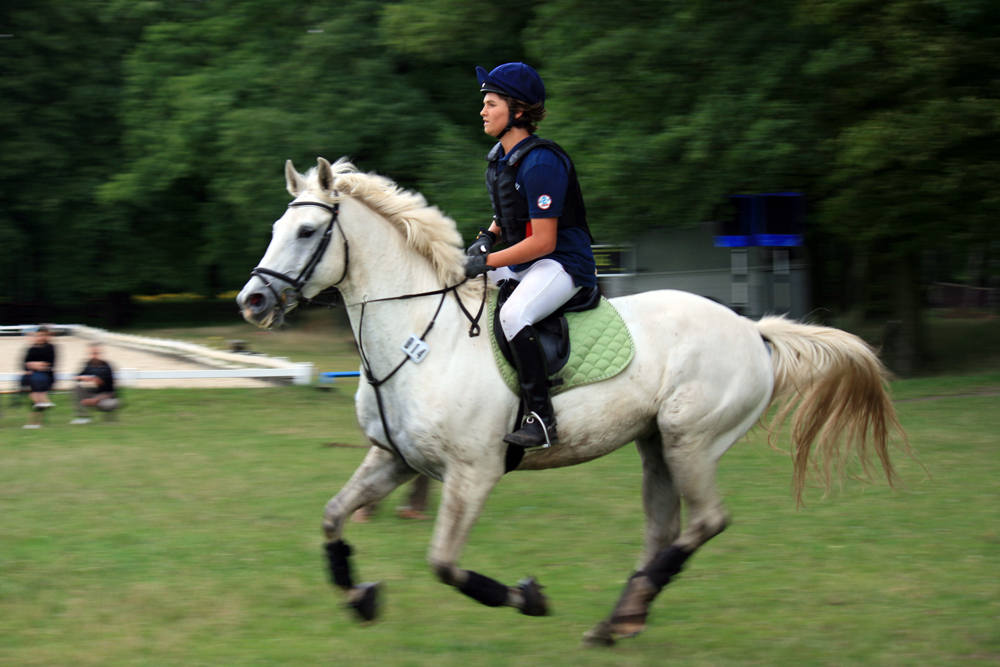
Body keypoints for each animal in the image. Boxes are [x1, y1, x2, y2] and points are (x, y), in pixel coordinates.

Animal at [236, 158, 908, 648]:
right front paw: (359, 596)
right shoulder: (393, 459)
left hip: (691, 440)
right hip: (656, 445)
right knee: (664, 528)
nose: (252, 303)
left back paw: (623, 613)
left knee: (706, 522)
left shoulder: (472, 473)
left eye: (305, 232)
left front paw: (528, 598)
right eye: (273, 230)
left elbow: (445, 565)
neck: (420, 339)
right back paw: (623, 615)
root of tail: (752, 329)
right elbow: (332, 518)